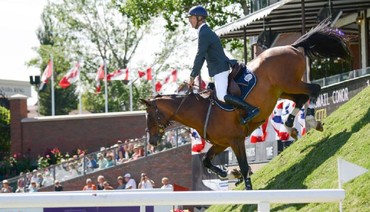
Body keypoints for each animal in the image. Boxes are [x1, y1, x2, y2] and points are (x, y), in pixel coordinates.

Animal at [140, 22, 352, 190]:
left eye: (151, 117)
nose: (152, 142)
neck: (200, 112)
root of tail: (292, 46)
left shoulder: (236, 140)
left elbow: (242, 166)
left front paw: (246, 185)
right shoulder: (221, 144)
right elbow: (207, 161)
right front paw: (228, 174)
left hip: (291, 83)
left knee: (315, 89)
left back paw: (310, 120)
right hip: (283, 90)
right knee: (300, 99)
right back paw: (289, 126)